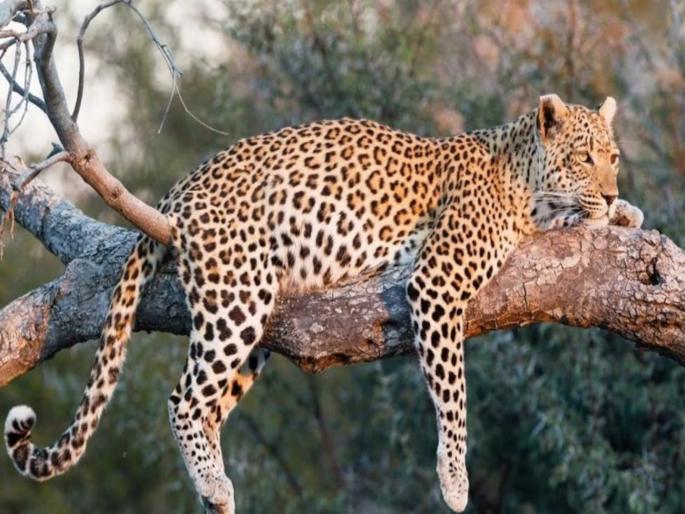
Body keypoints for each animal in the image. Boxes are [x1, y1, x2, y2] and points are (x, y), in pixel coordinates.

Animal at [4, 94, 643, 513]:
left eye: (613, 158)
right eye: (584, 157)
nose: (612, 188)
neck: (526, 180)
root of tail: (178, 191)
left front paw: (624, 212)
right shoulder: (435, 283)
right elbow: (454, 394)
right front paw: (456, 480)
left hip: (255, 322)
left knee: (207, 405)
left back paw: (217, 489)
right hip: (236, 296)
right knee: (183, 400)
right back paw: (213, 483)